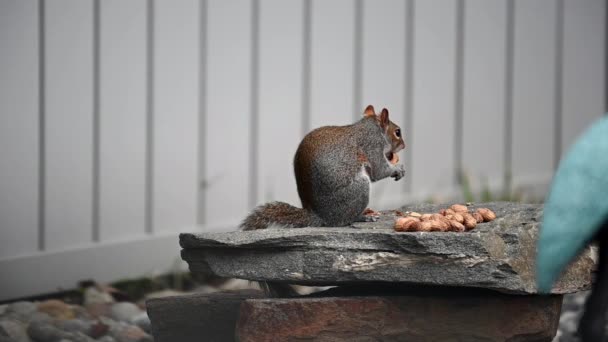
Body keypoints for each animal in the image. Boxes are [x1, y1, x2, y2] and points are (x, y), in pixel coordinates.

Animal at [240, 104, 406, 231]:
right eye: (397, 132)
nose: (404, 145)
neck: (372, 128)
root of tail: (320, 216)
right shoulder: (372, 146)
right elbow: (379, 170)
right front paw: (398, 169)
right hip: (358, 190)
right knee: (344, 220)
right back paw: (363, 217)